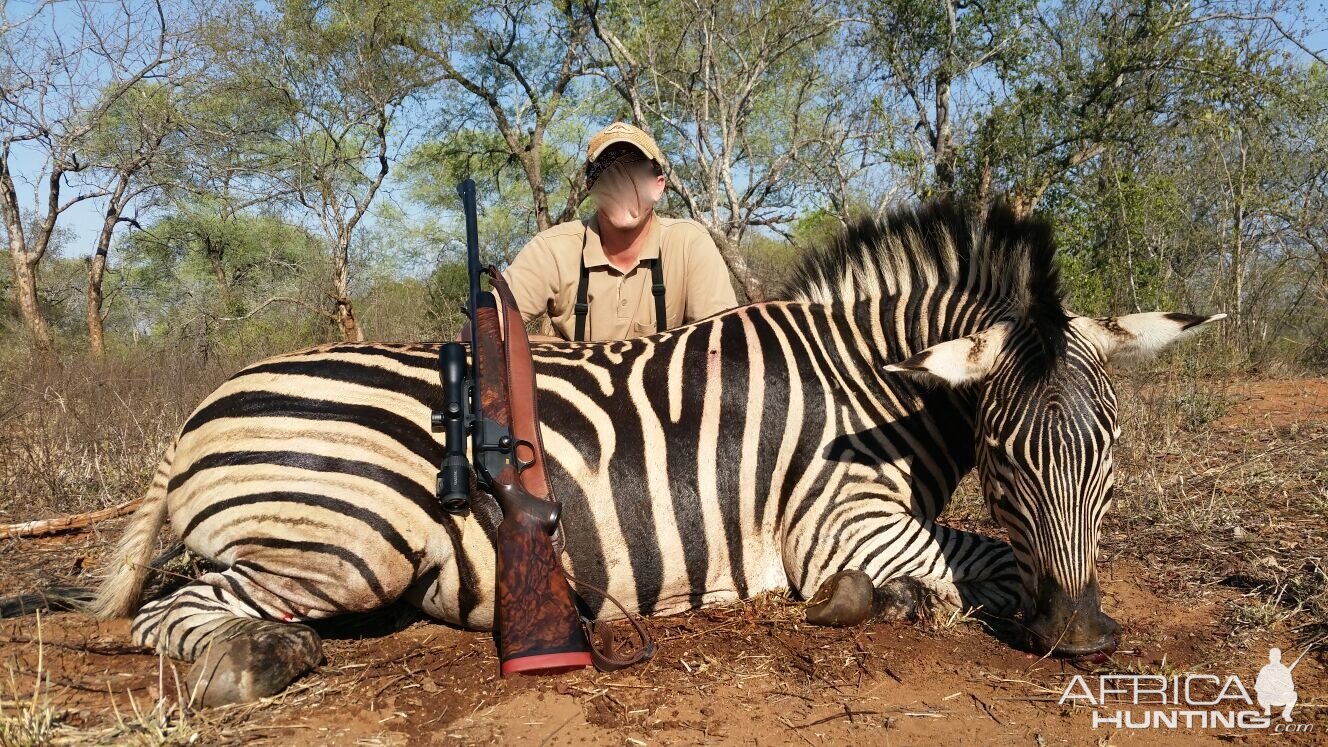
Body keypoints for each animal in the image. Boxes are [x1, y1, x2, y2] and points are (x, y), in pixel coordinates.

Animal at [28, 199, 1221, 701]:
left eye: (1112, 448)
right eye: (1007, 455)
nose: (1084, 638)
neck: (870, 386)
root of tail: (197, 413)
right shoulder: (841, 519)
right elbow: (988, 561)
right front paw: (872, 602)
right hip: (342, 544)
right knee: (171, 610)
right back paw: (258, 663)